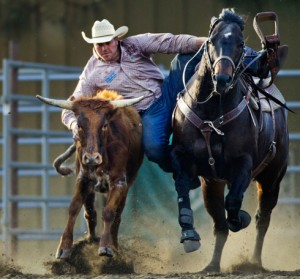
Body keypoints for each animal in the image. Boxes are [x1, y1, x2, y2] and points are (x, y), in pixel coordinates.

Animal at [170, 8, 290, 272]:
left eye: (241, 43)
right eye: (211, 41)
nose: (222, 79)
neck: (212, 114)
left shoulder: (243, 164)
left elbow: (234, 203)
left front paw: (240, 218)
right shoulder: (188, 162)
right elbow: (184, 189)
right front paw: (189, 234)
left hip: (272, 178)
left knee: (262, 219)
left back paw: (254, 261)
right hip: (213, 183)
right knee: (220, 225)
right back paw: (212, 265)